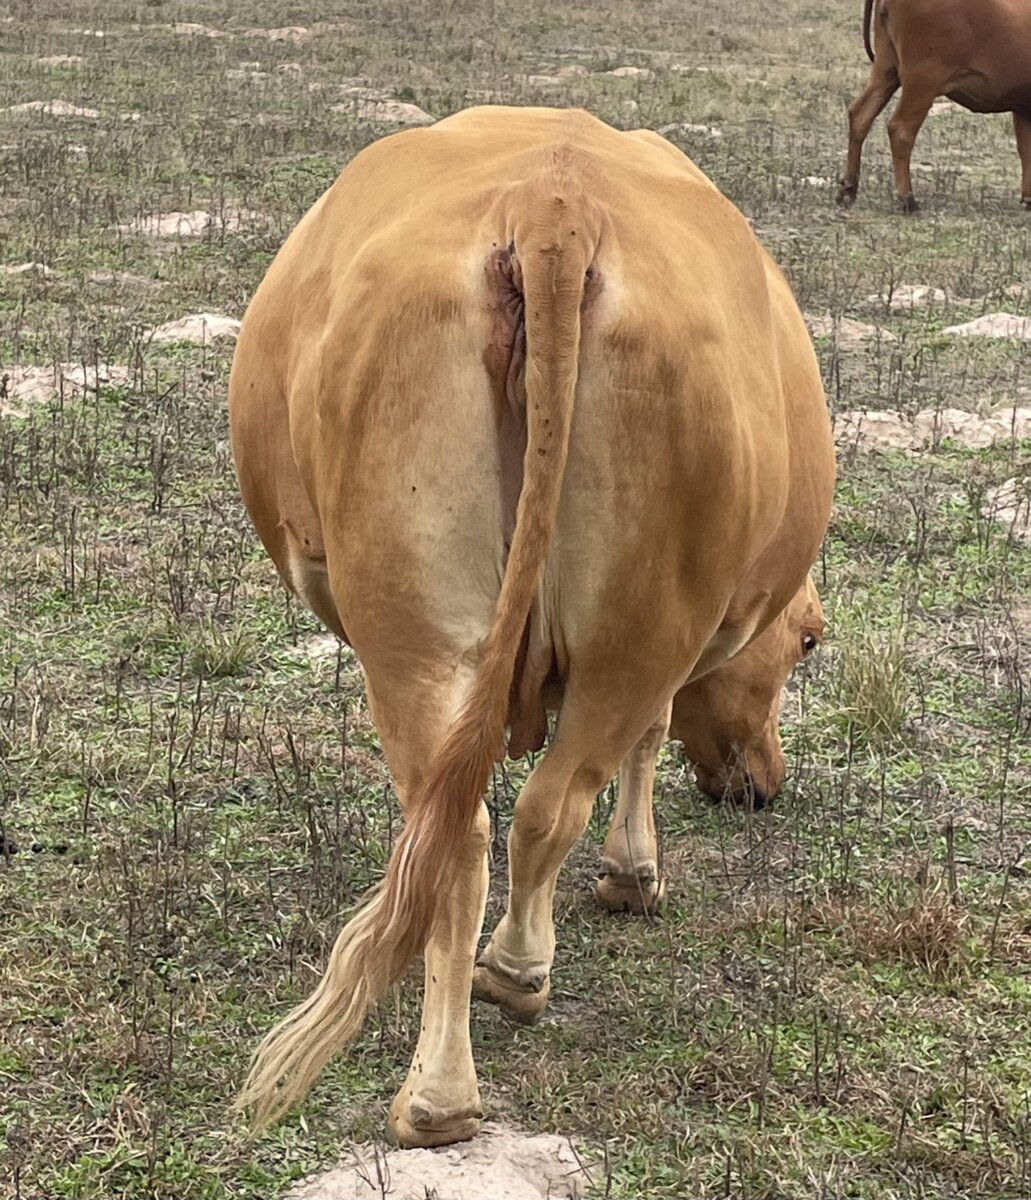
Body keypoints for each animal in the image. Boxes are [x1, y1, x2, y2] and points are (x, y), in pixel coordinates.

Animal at [229, 105, 835, 1148]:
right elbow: (651, 737)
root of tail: (555, 208)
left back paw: (445, 1084)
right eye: (806, 639)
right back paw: (502, 998)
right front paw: (636, 874)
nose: (763, 787)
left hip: (420, 639)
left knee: (469, 832)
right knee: (550, 802)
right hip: (632, 631)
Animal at [838, 0, 1031, 212]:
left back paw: (848, 189)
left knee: (861, 114)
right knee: (901, 129)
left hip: (885, 70)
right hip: (923, 81)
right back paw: (908, 200)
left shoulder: (1022, 107)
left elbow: (1026, 149)